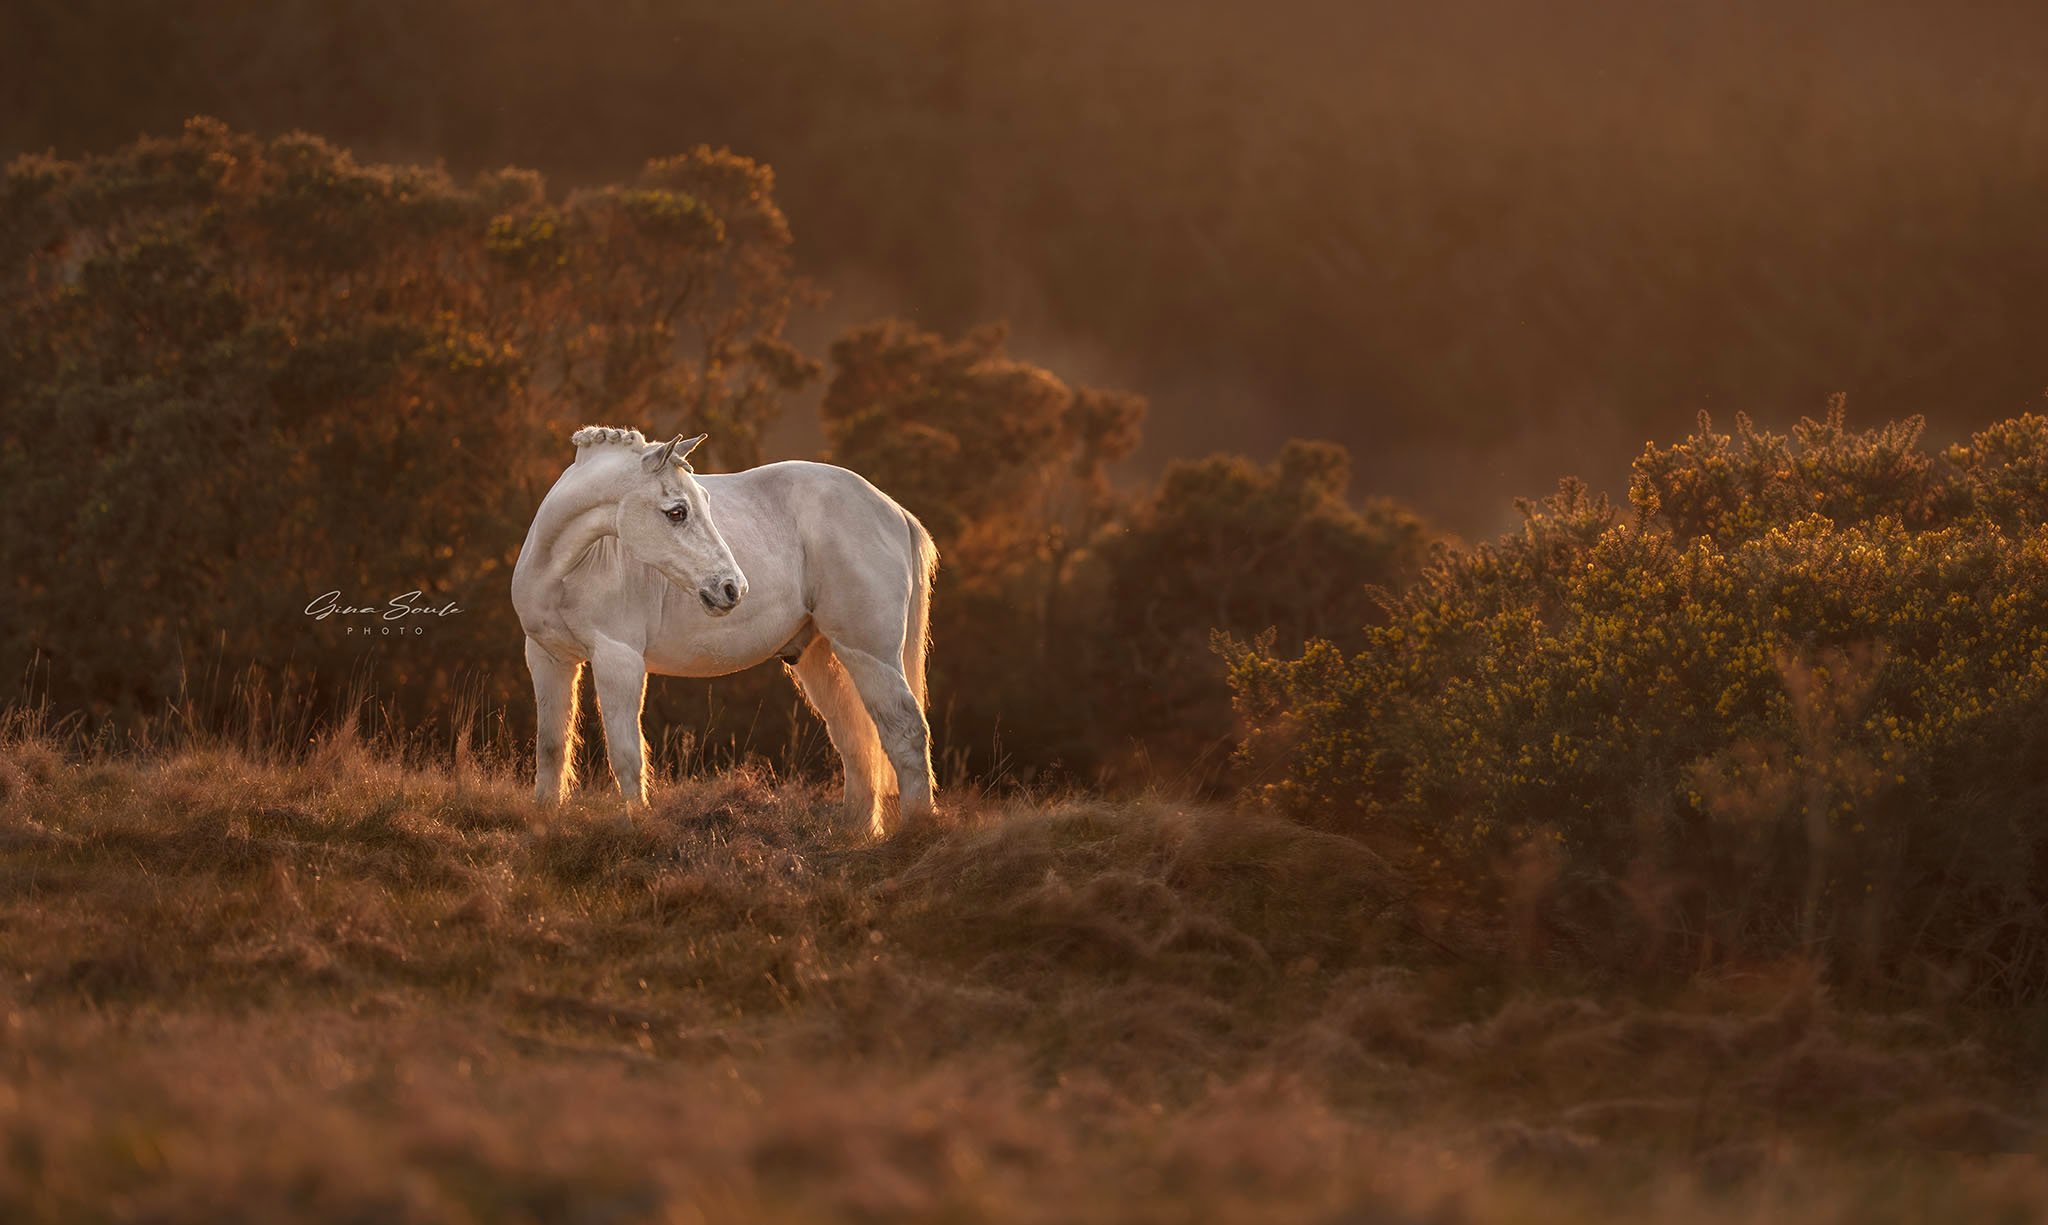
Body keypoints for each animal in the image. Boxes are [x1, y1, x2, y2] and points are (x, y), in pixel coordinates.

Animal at [510, 426, 937, 836]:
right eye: (677, 512)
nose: (734, 588)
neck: (564, 568)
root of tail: (894, 511)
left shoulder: (619, 660)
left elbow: (627, 754)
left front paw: (636, 827)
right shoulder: (547, 657)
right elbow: (551, 747)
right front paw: (543, 823)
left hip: (870, 654)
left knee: (905, 731)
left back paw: (916, 829)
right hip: (822, 658)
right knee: (855, 740)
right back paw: (856, 832)